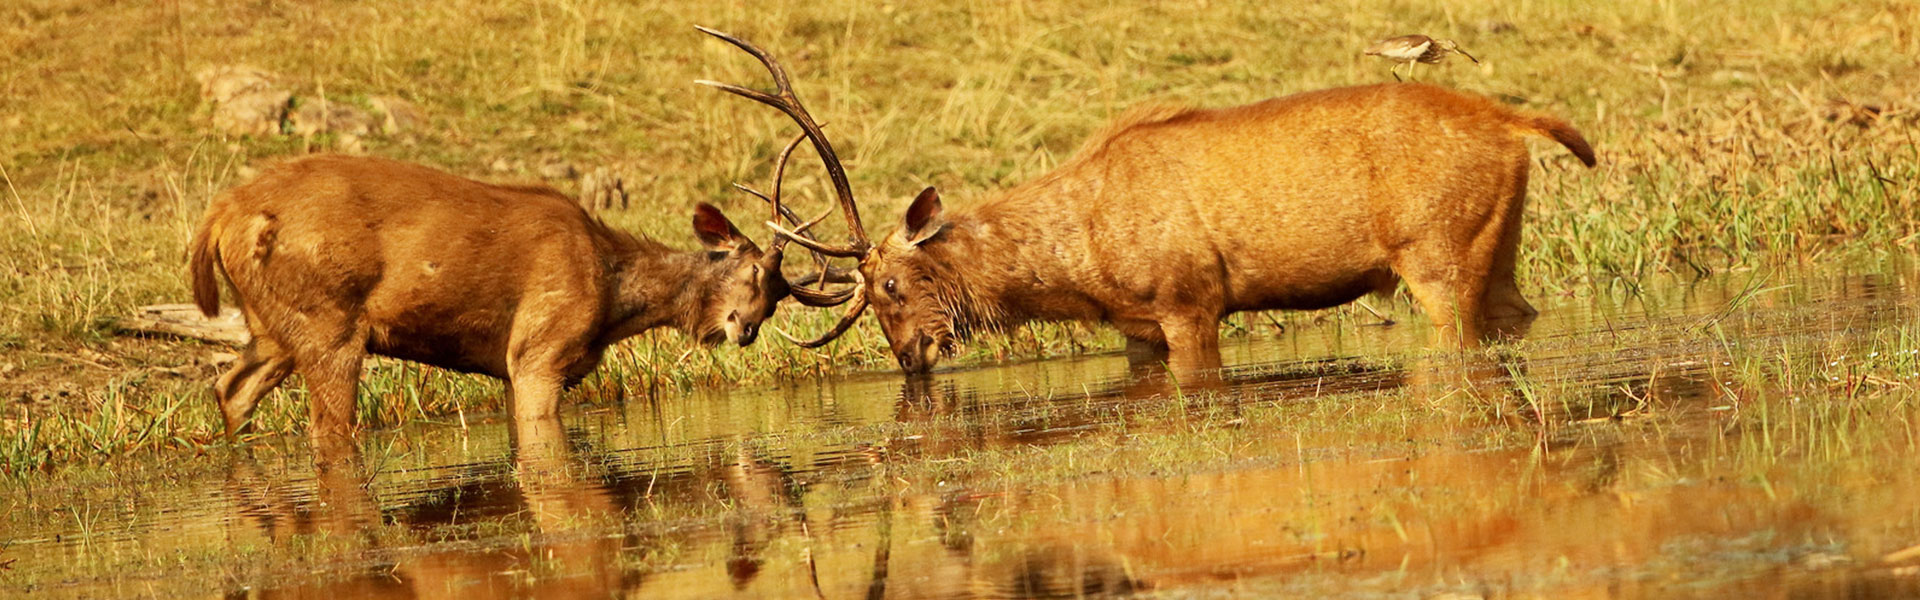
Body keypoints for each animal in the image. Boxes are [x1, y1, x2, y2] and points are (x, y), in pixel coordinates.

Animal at [187, 154, 840, 446]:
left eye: (779, 297)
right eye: (757, 271)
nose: (745, 329)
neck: (613, 298)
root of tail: (219, 216)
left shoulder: (508, 367)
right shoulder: (538, 351)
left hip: (270, 327)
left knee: (230, 388)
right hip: (328, 322)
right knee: (326, 427)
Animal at [698, 29, 1597, 378]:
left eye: (889, 285)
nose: (911, 358)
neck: (1076, 269)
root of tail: (1514, 122)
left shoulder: (1189, 299)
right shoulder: (1137, 327)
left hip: (1436, 257)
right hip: (1496, 248)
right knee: (1522, 317)